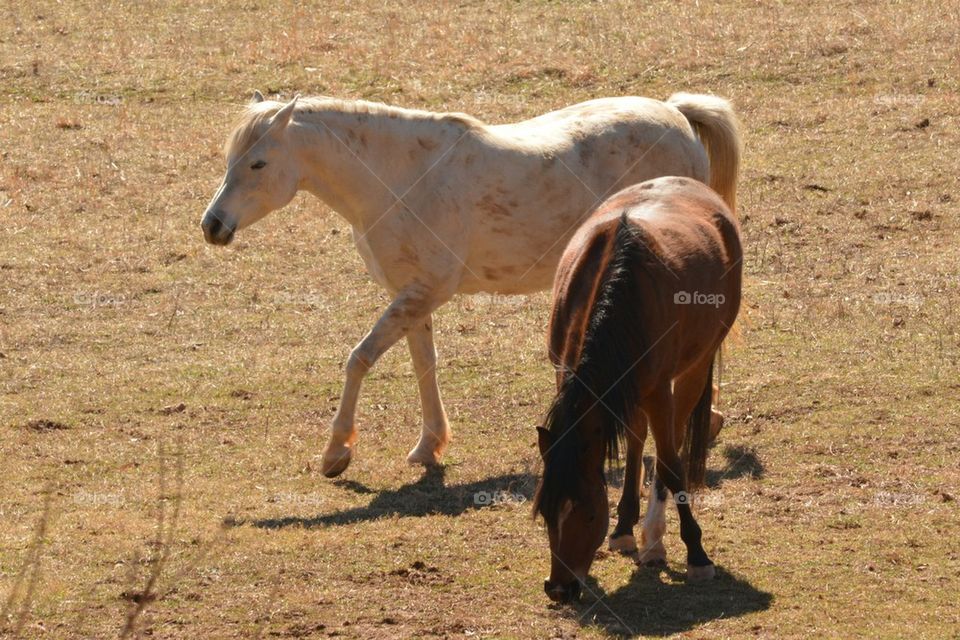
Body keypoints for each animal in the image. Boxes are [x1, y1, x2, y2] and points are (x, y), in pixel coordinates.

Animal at [200, 91, 742, 478]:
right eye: (229, 160)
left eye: (258, 163)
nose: (213, 225)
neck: (399, 180)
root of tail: (676, 115)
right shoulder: (413, 295)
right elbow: (424, 365)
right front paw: (428, 445)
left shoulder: (425, 291)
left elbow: (359, 358)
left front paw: (337, 452)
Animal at [533, 176, 742, 602]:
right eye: (545, 512)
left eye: (588, 513)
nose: (559, 588)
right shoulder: (571, 375)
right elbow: (634, 441)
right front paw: (623, 527)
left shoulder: (658, 390)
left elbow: (671, 466)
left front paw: (696, 554)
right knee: (637, 438)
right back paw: (627, 527)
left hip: (694, 367)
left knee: (668, 447)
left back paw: (654, 538)